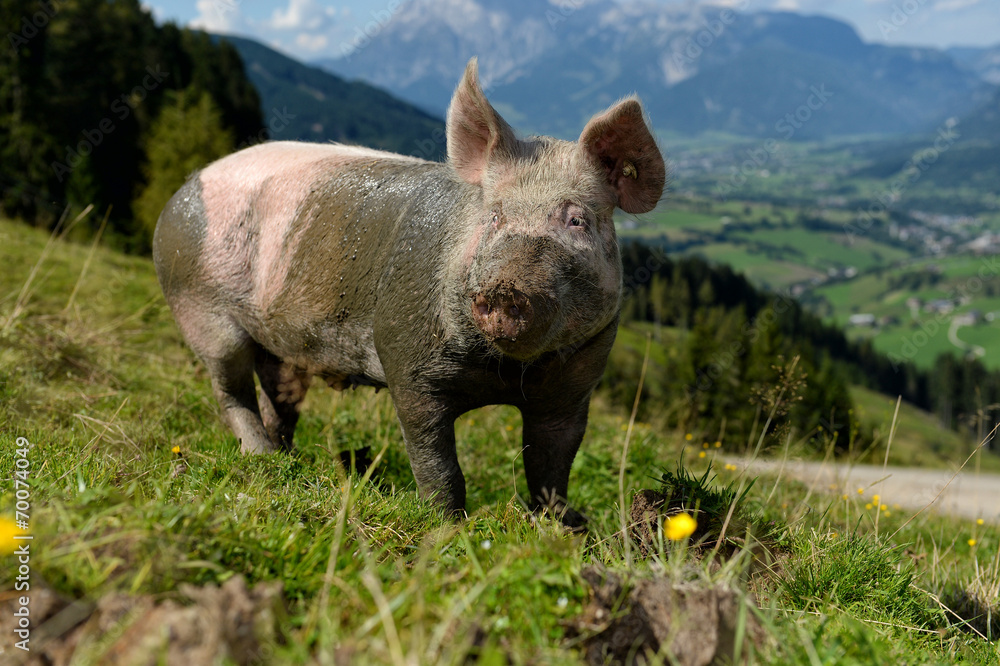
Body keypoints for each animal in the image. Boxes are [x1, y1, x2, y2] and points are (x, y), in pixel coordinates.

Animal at [153, 58, 665, 526]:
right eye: (494, 216)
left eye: (576, 219)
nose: (505, 290)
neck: (502, 372)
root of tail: (178, 194)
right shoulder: (405, 354)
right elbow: (434, 458)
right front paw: (446, 524)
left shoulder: (577, 382)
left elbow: (552, 464)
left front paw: (562, 527)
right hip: (198, 305)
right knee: (230, 391)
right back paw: (259, 457)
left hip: (277, 341)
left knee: (277, 396)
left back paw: (285, 459)